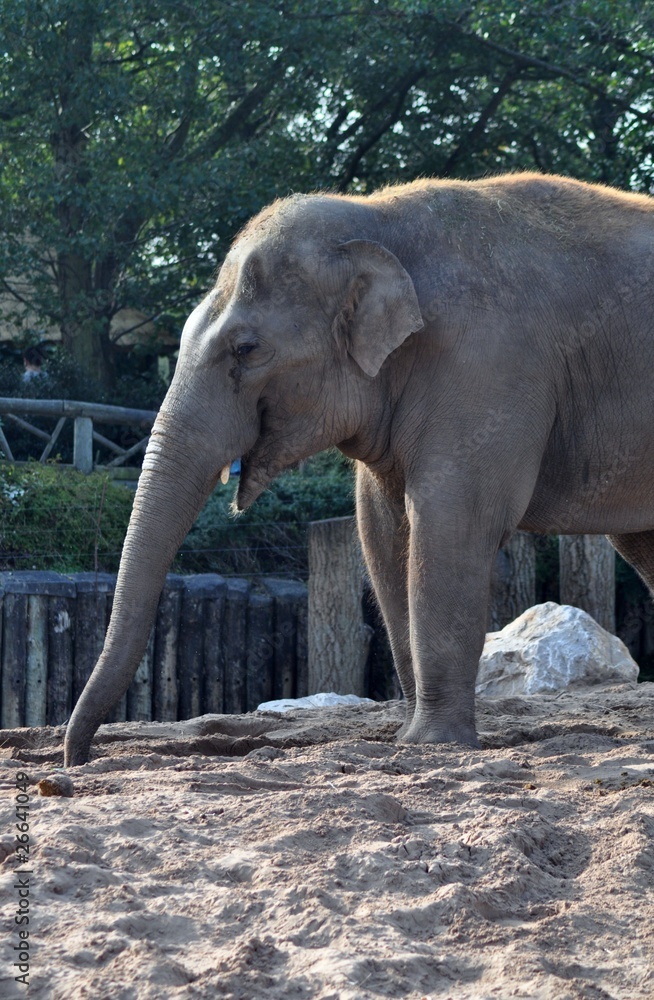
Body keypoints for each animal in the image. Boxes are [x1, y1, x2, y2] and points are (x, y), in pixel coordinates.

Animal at [64, 172, 654, 766]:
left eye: (246, 349)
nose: (80, 758)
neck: (375, 219)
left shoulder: (492, 367)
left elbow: (451, 523)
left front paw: (432, 744)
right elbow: (381, 529)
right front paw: (407, 740)